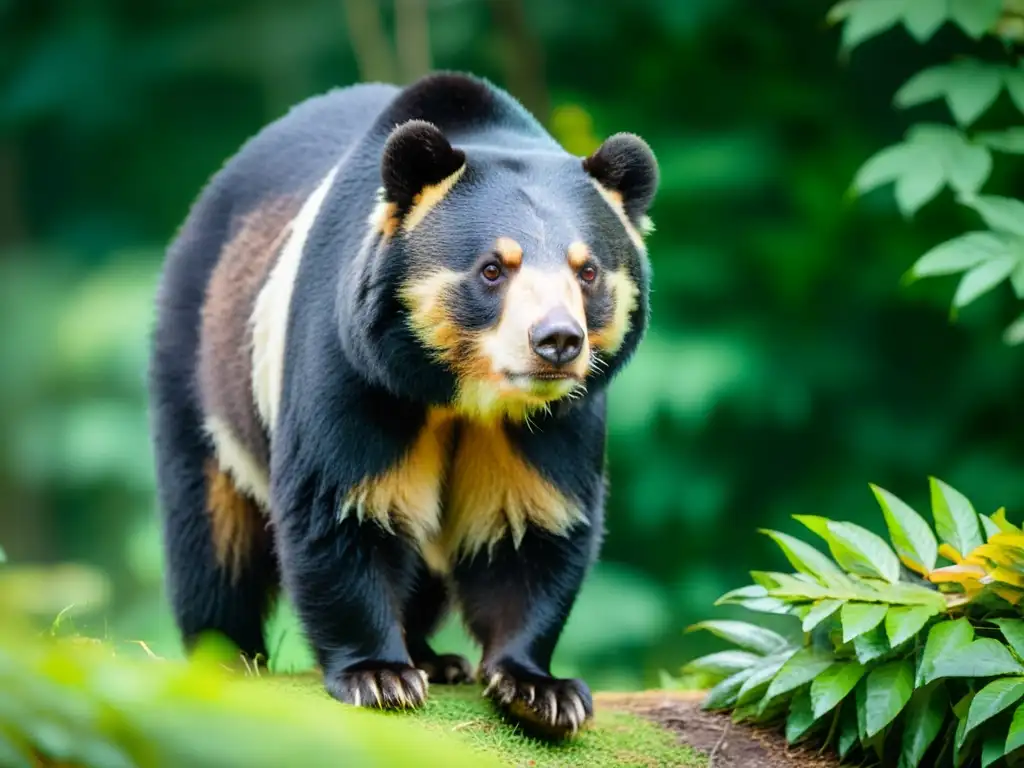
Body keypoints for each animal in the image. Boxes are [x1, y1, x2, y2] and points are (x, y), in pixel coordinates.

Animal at [147, 71, 658, 740]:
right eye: (493, 269)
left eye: (588, 270)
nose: (556, 341)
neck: (465, 392)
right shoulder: (357, 368)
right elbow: (340, 504)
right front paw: (378, 676)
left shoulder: (554, 415)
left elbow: (535, 520)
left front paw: (540, 689)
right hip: (202, 354)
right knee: (210, 522)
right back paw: (228, 654)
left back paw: (434, 657)